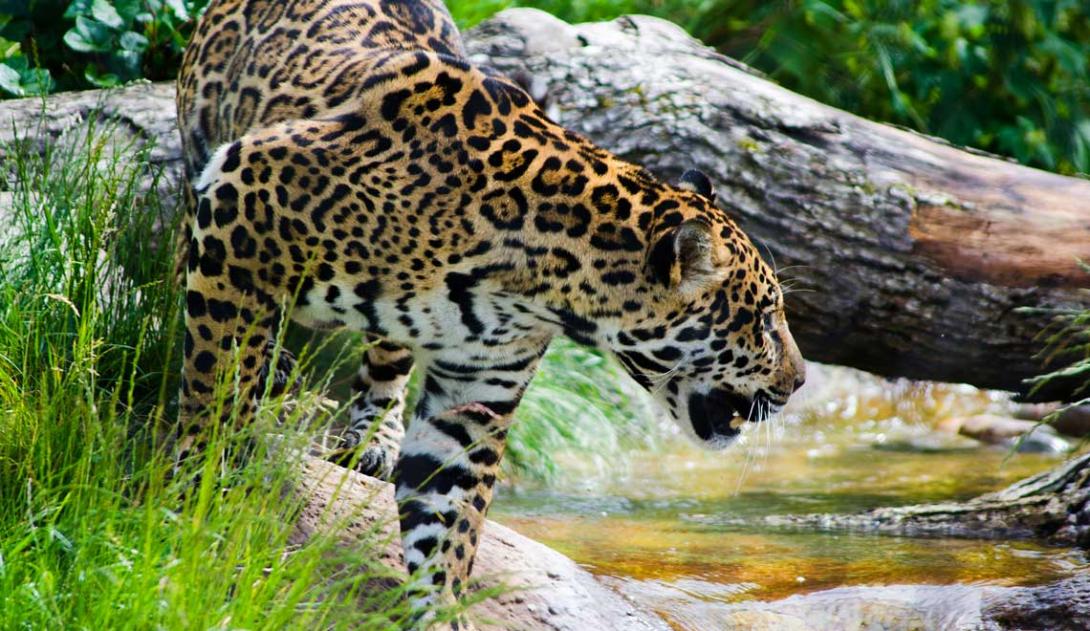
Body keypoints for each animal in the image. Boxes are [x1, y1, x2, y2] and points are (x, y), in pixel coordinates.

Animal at [175, 0, 806, 625]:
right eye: (763, 317)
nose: (799, 382)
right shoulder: (241, 203)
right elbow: (214, 396)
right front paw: (196, 511)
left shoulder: (474, 390)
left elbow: (449, 521)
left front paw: (443, 611)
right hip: (200, 162)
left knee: (386, 360)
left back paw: (373, 434)